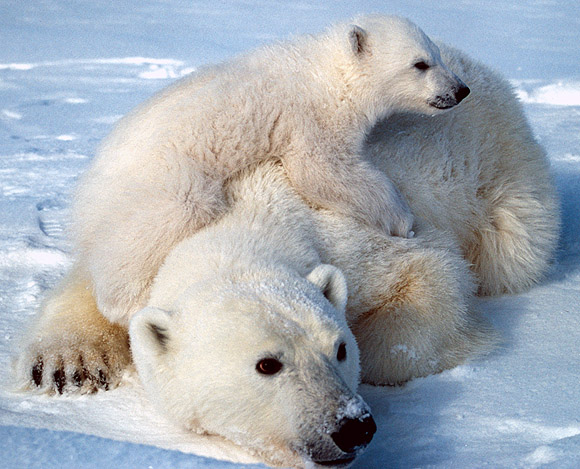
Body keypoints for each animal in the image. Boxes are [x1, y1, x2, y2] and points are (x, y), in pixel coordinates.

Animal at [71, 15, 472, 322]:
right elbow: (321, 171)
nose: (461, 90)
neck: (328, 73)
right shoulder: (312, 116)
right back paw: (126, 302)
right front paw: (402, 220)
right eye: (420, 64)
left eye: (438, 55)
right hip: (162, 178)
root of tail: (86, 193)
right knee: (164, 219)